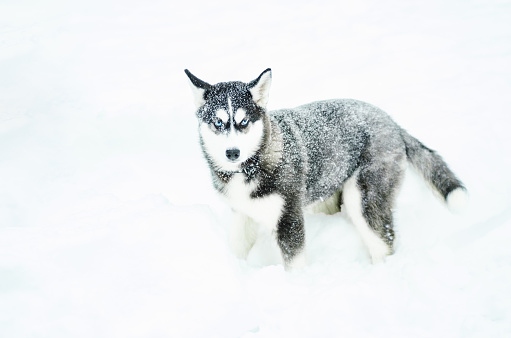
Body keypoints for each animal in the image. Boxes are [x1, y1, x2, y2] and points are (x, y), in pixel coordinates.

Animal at [185, 68, 468, 270]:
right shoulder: (241, 213)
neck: (251, 166)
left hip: (363, 195)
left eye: (243, 122)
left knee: (383, 241)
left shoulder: (289, 218)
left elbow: (294, 264)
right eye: (217, 123)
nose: (232, 152)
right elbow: (238, 246)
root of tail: (390, 121)